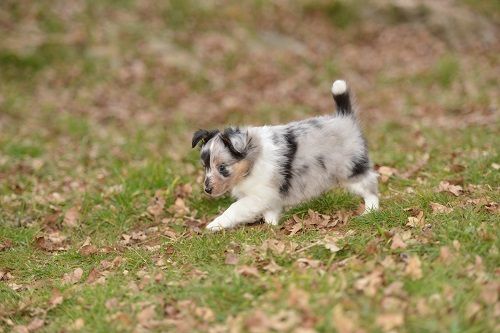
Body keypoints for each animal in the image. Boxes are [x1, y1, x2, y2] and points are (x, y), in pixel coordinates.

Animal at [191, 80, 378, 231]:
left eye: (222, 167)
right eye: (205, 167)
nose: (207, 190)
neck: (252, 160)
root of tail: (345, 118)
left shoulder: (258, 196)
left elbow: (235, 208)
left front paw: (215, 224)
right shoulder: (270, 196)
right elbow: (270, 213)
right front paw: (271, 227)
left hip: (351, 169)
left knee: (370, 185)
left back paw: (371, 211)